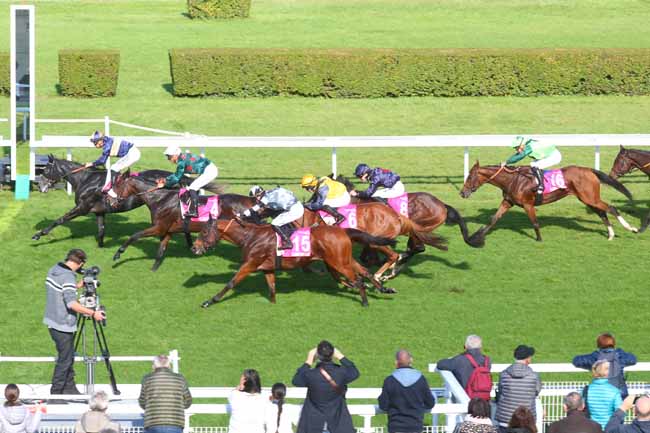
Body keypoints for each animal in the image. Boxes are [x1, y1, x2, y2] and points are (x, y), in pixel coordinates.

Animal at [33, 154, 170, 246]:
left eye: (45, 169)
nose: (40, 187)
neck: (85, 179)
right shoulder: (99, 211)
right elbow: (101, 230)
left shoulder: (82, 208)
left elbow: (60, 219)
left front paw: (38, 235)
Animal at [110, 170, 256, 268]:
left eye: (117, 185)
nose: (110, 200)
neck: (160, 199)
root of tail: (252, 200)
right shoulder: (168, 230)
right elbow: (160, 250)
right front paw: (154, 269)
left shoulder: (159, 227)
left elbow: (135, 235)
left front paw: (118, 254)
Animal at [190, 218, 398, 306]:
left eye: (204, 232)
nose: (194, 248)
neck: (250, 236)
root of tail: (342, 230)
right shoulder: (267, 268)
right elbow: (272, 289)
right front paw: (273, 306)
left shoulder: (250, 264)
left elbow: (231, 282)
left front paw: (210, 301)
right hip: (344, 259)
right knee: (364, 272)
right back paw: (384, 289)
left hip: (338, 262)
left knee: (357, 279)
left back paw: (365, 301)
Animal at [458, 161, 636, 241]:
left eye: (470, 177)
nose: (462, 193)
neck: (512, 180)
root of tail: (589, 170)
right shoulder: (508, 202)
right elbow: (493, 219)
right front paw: (477, 235)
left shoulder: (528, 204)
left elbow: (535, 222)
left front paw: (539, 239)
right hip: (587, 199)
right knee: (602, 212)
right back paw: (610, 234)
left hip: (590, 197)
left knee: (611, 208)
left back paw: (631, 228)